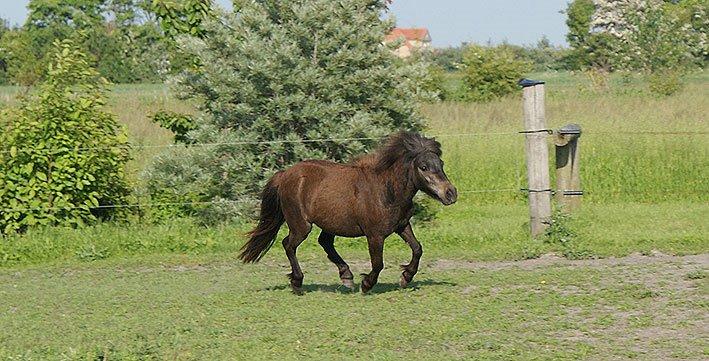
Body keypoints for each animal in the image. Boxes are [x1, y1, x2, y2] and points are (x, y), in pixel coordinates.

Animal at [239, 130, 460, 292]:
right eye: (423, 166)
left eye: (440, 164)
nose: (451, 193)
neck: (386, 191)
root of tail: (285, 174)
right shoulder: (374, 235)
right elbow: (378, 263)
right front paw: (367, 284)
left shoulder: (402, 226)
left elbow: (417, 249)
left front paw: (406, 277)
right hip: (301, 225)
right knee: (289, 245)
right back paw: (298, 282)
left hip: (329, 223)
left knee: (324, 243)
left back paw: (346, 276)